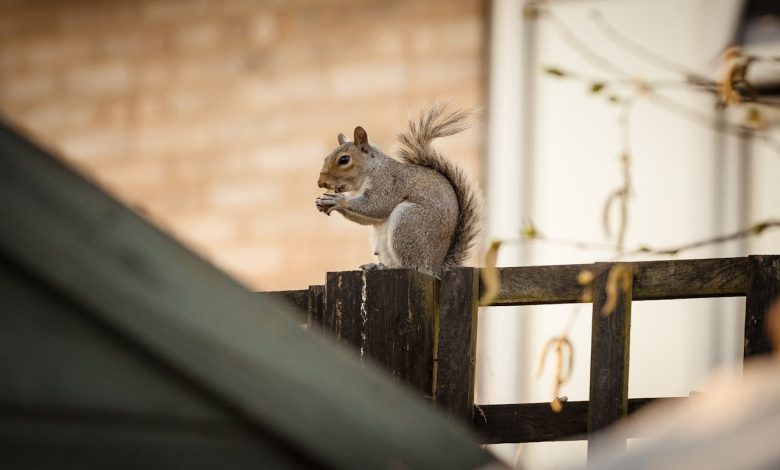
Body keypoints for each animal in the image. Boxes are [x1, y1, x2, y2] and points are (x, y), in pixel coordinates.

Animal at [315, 103, 482, 278]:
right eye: (326, 158)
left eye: (344, 159)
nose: (320, 183)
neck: (370, 171)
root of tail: (435, 268)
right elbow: (366, 219)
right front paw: (323, 202)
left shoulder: (387, 183)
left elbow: (377, 205)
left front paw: (338, 201)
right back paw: (376, 266)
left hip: (408, 221)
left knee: (412, 265)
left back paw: (388, 267)